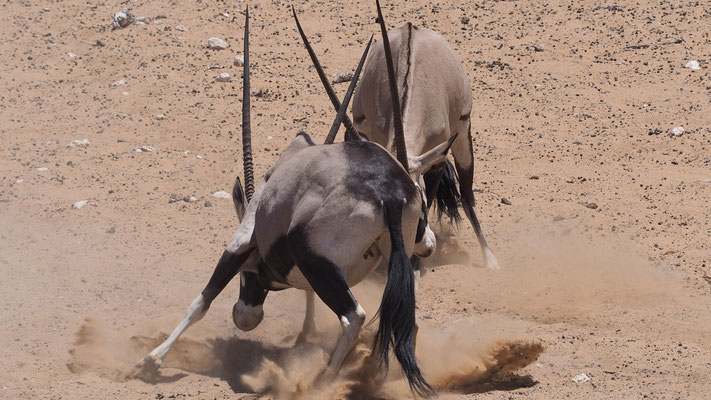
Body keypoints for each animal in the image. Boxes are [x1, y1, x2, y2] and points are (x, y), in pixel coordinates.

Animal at [129, 7, 456, 396]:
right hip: (392, 258)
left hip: (315, 258)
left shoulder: (241, 241)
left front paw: (150, 361)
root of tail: (387, 193)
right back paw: (372, 376)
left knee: (354, 316)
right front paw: (305, 335)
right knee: (403, 322)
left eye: (249, 272)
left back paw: (324, 381)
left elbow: (201, 301)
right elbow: (309, 297)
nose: (245, 316)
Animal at [352, 0, 500, 268]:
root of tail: (413, 28)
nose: (424, 249)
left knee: (467, 195)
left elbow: (435, 197)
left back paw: (489, 258)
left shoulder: (437, 160)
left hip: (462, 132)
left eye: (416, 204)